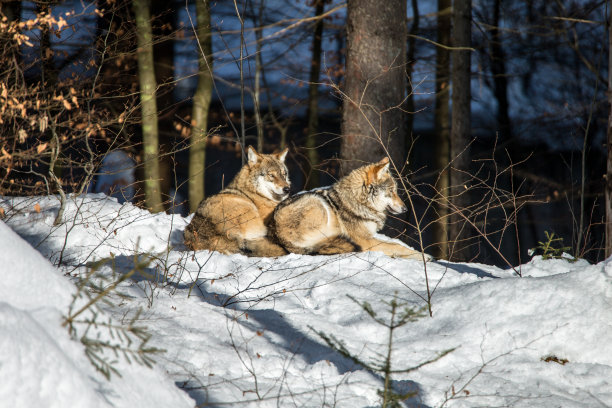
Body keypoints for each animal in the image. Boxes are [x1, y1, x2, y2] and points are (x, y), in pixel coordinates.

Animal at [270, 158, 432, 260]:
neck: (360, 202)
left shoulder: (370, 235)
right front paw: (424, 256)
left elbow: (396, 244)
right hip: (317, 202)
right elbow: (397, 246)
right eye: (391, 191)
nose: (405, 209)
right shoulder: (366, 241)